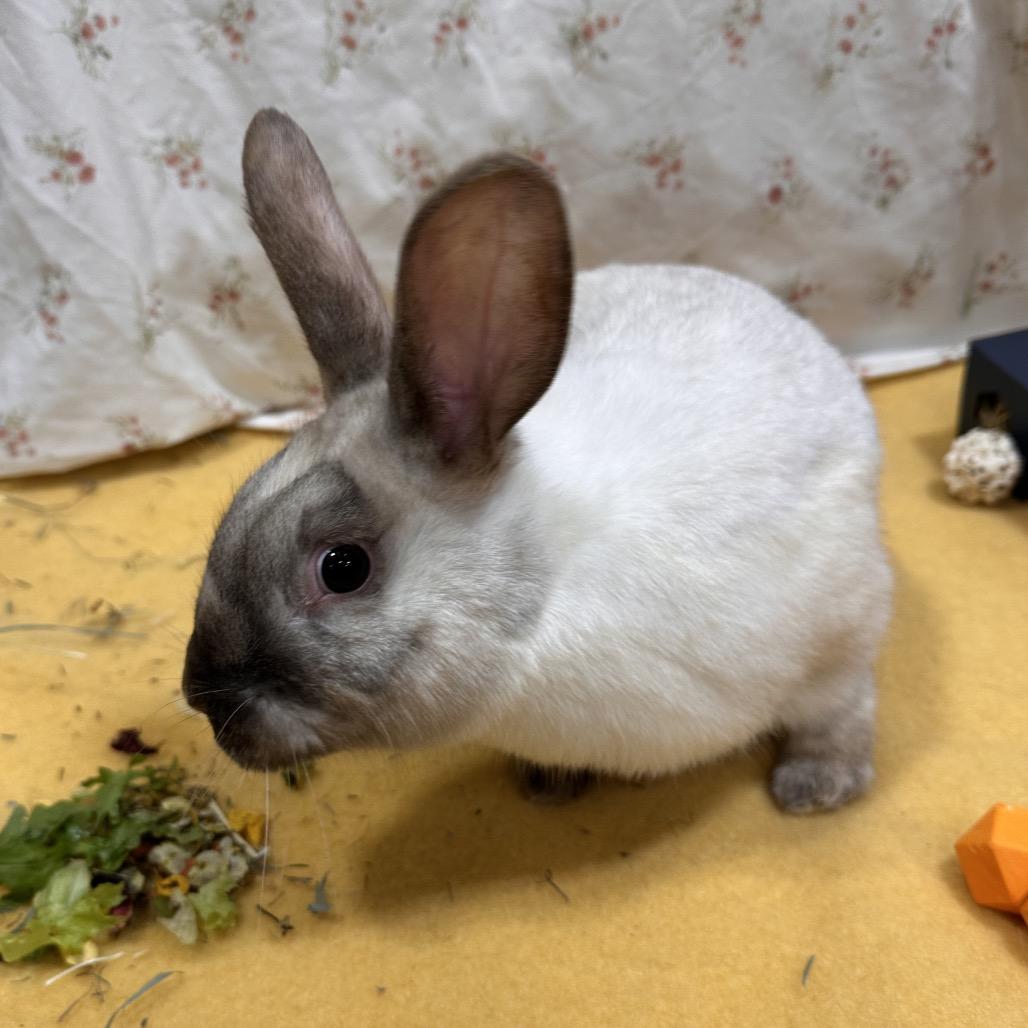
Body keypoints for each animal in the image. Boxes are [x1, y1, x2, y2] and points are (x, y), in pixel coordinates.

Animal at [183, 108, 892, 813]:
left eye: (343, 567)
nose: (201, 697)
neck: (542, 604)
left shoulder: (837, 642)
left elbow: (841, 710)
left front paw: (816, 787)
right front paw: (548, 784)